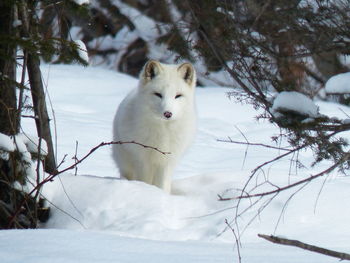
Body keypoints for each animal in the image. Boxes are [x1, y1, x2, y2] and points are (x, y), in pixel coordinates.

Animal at [113, 60, 198, 194]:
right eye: (158, 94)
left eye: (178, 96)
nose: (168, 113)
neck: (163, 132)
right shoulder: (142, 159)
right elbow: (144, 180)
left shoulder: (167, 161)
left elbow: (162, 185)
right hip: (126, 162)